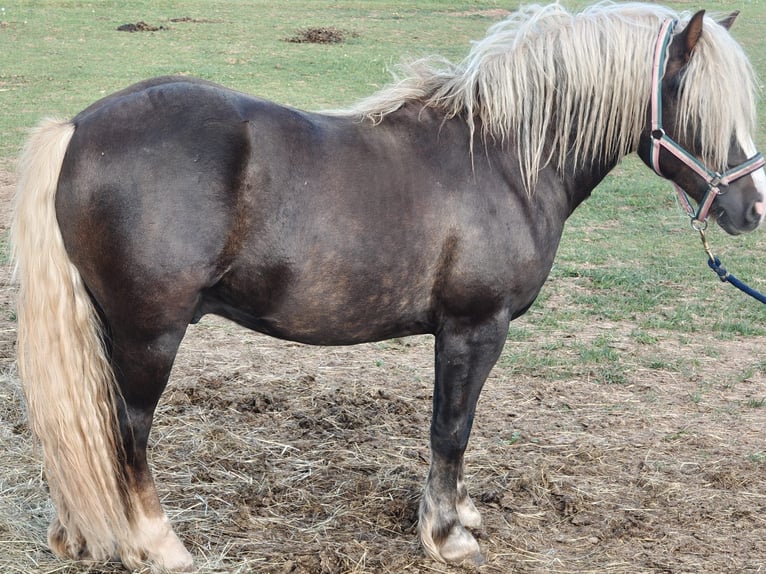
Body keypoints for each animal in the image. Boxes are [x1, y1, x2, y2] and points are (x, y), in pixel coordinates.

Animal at [12, 2, 766, 571]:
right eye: (697, 105)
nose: (751, 208)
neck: (503, 159)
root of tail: (78, 128)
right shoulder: (475, 327)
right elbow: (451, 427)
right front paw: (446, 536)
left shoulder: (455, 334)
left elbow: (453, 424)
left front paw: (458, 513)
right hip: (150, 335)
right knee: (126, 430)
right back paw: (157, 543)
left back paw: (77, 535)